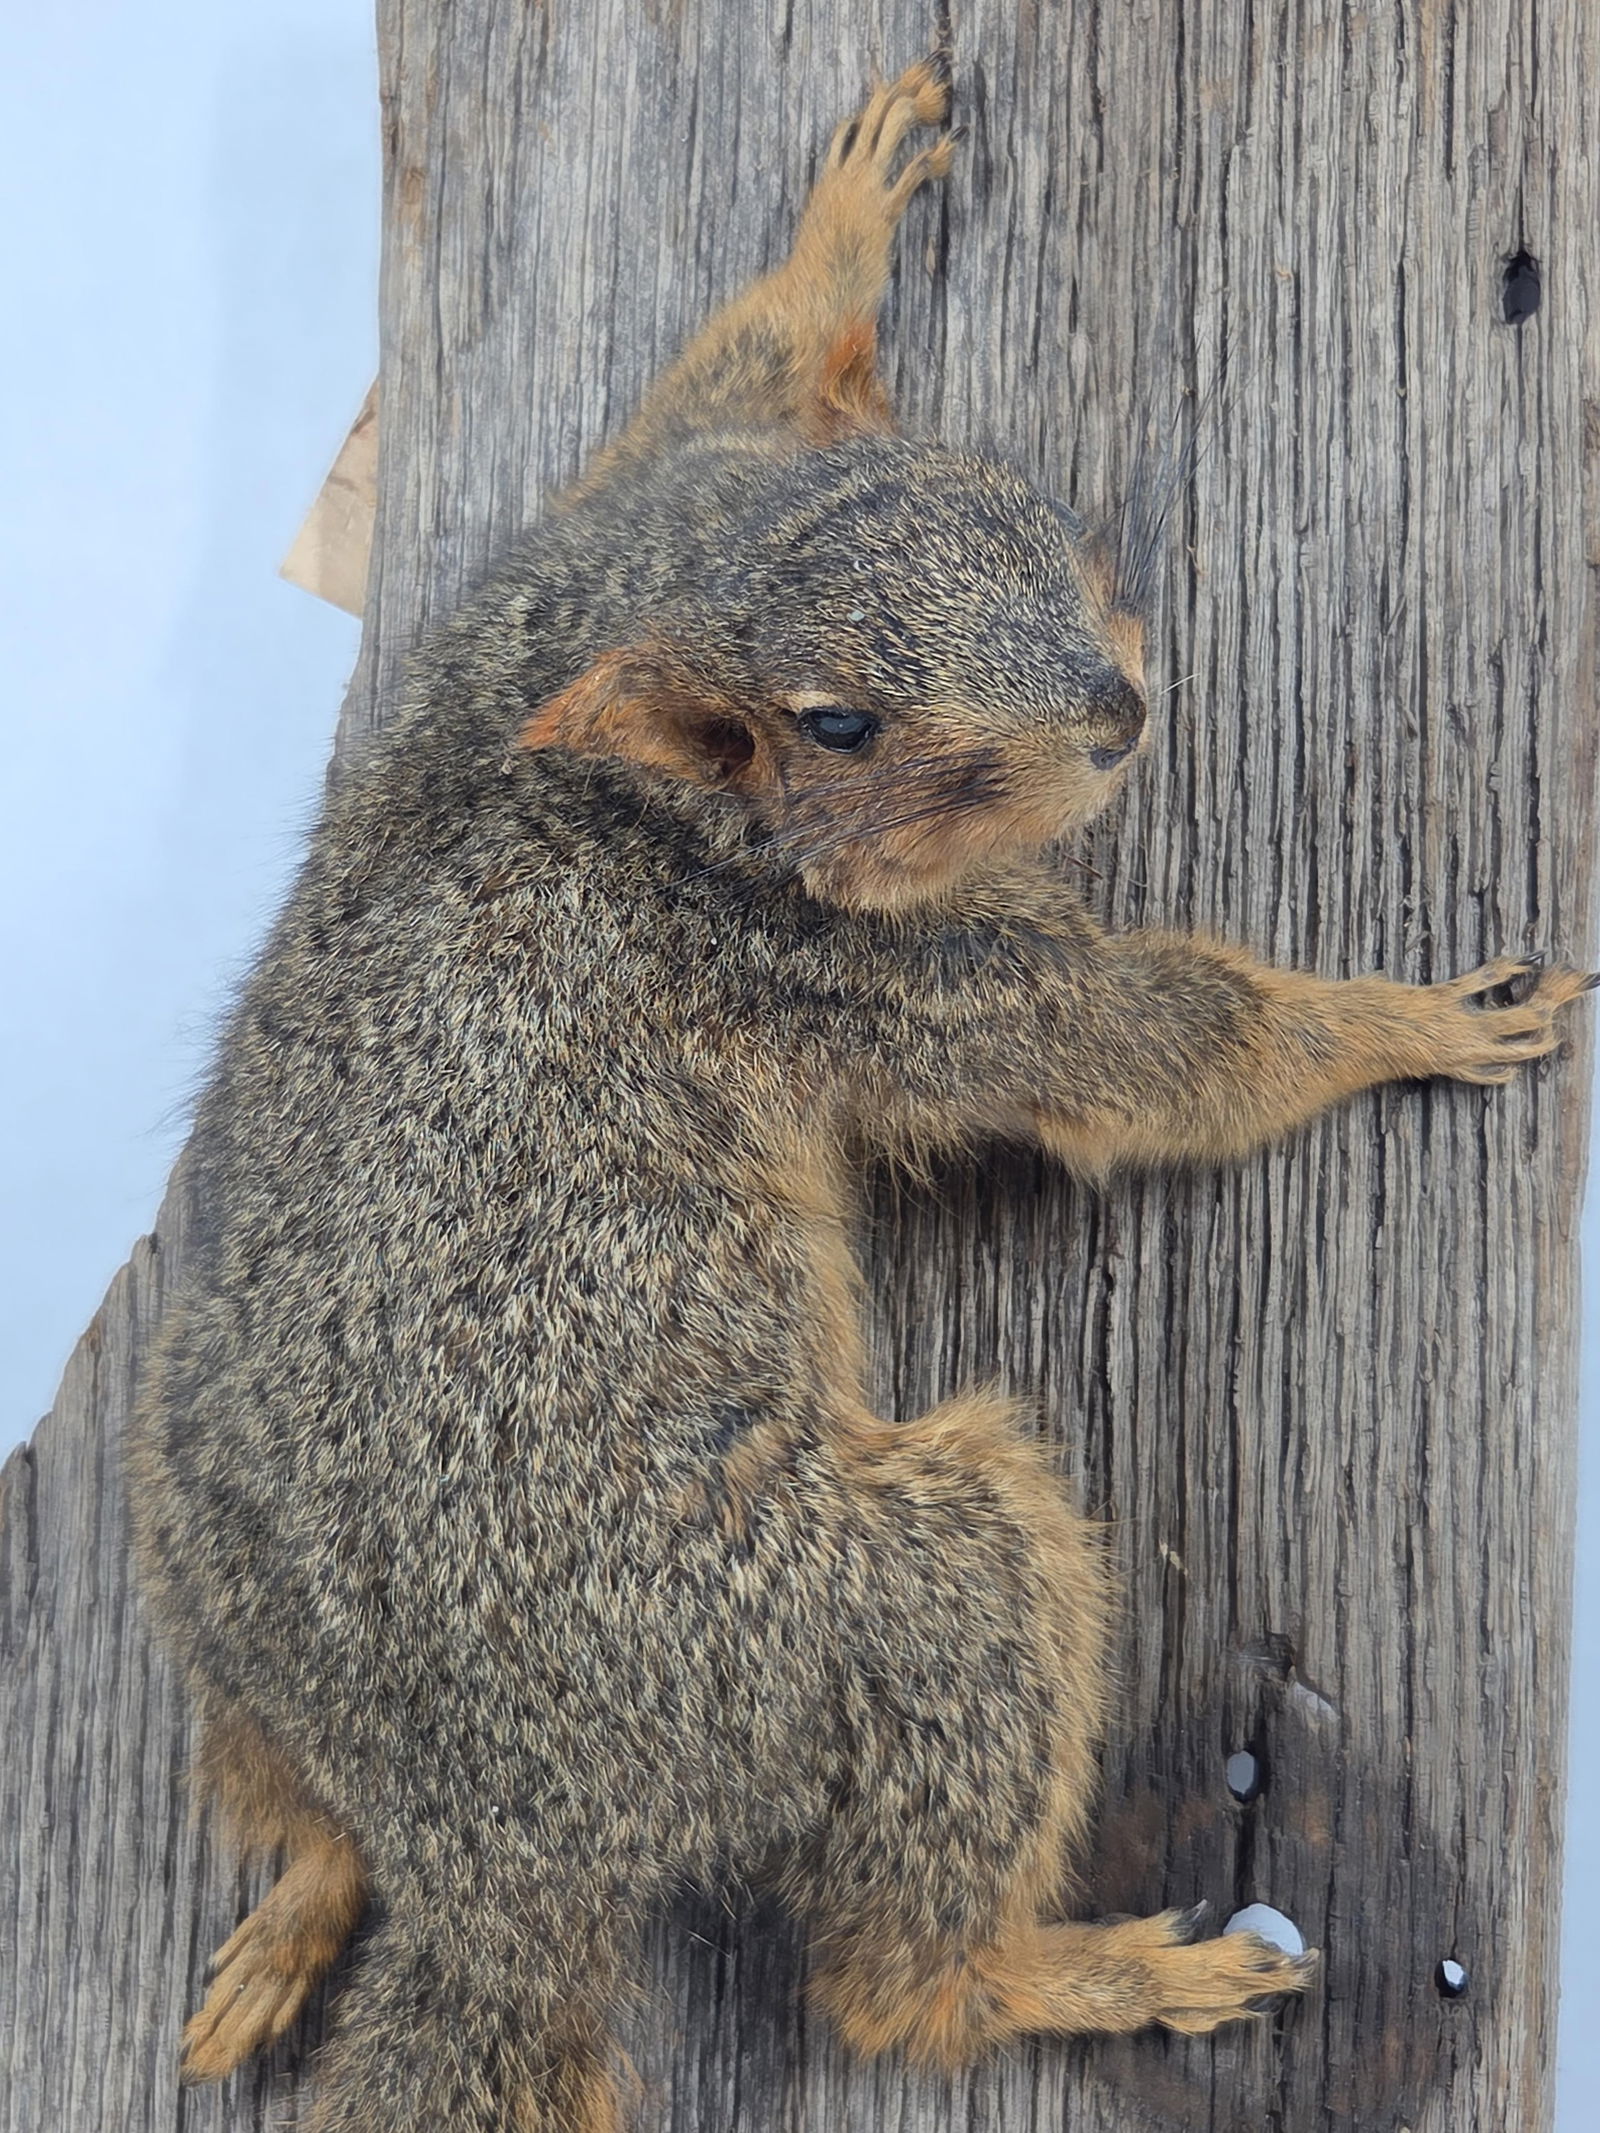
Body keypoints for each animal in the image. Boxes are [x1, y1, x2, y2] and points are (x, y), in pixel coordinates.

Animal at [126, 56, 1592, 2133]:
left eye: (1003, 496)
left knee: (299, 1795)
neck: (632, 650)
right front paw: (1405, 1019)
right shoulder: (875, 979)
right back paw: (1104, 1970)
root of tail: (498, 1837)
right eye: (839, 727)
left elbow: (720, 371)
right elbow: (1143, 1048)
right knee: (900, 1982)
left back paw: (303, 1894)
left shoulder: (628, 501)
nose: (1118, 705)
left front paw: (850, 210)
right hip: (903, 1603)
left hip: (195, 1506)